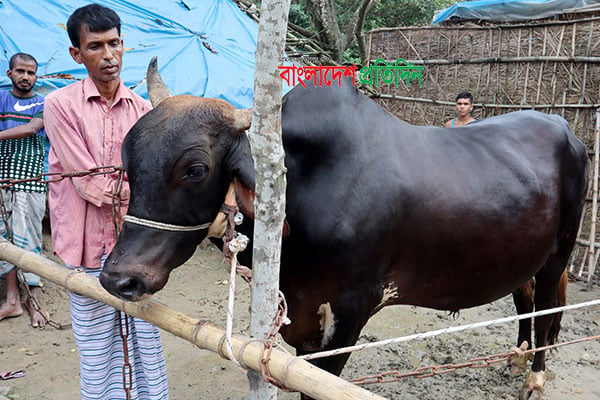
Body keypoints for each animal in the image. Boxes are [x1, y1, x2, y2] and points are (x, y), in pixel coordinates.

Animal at [98, 60, 584, 400]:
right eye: (128, 159)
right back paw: (517, 357)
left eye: (195, 169)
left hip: (559, 252)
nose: (118, 278)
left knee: (546, 307)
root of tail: (566, 128)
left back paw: (535, 376)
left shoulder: (352, 309)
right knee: (524, 301)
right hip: (521, 252)